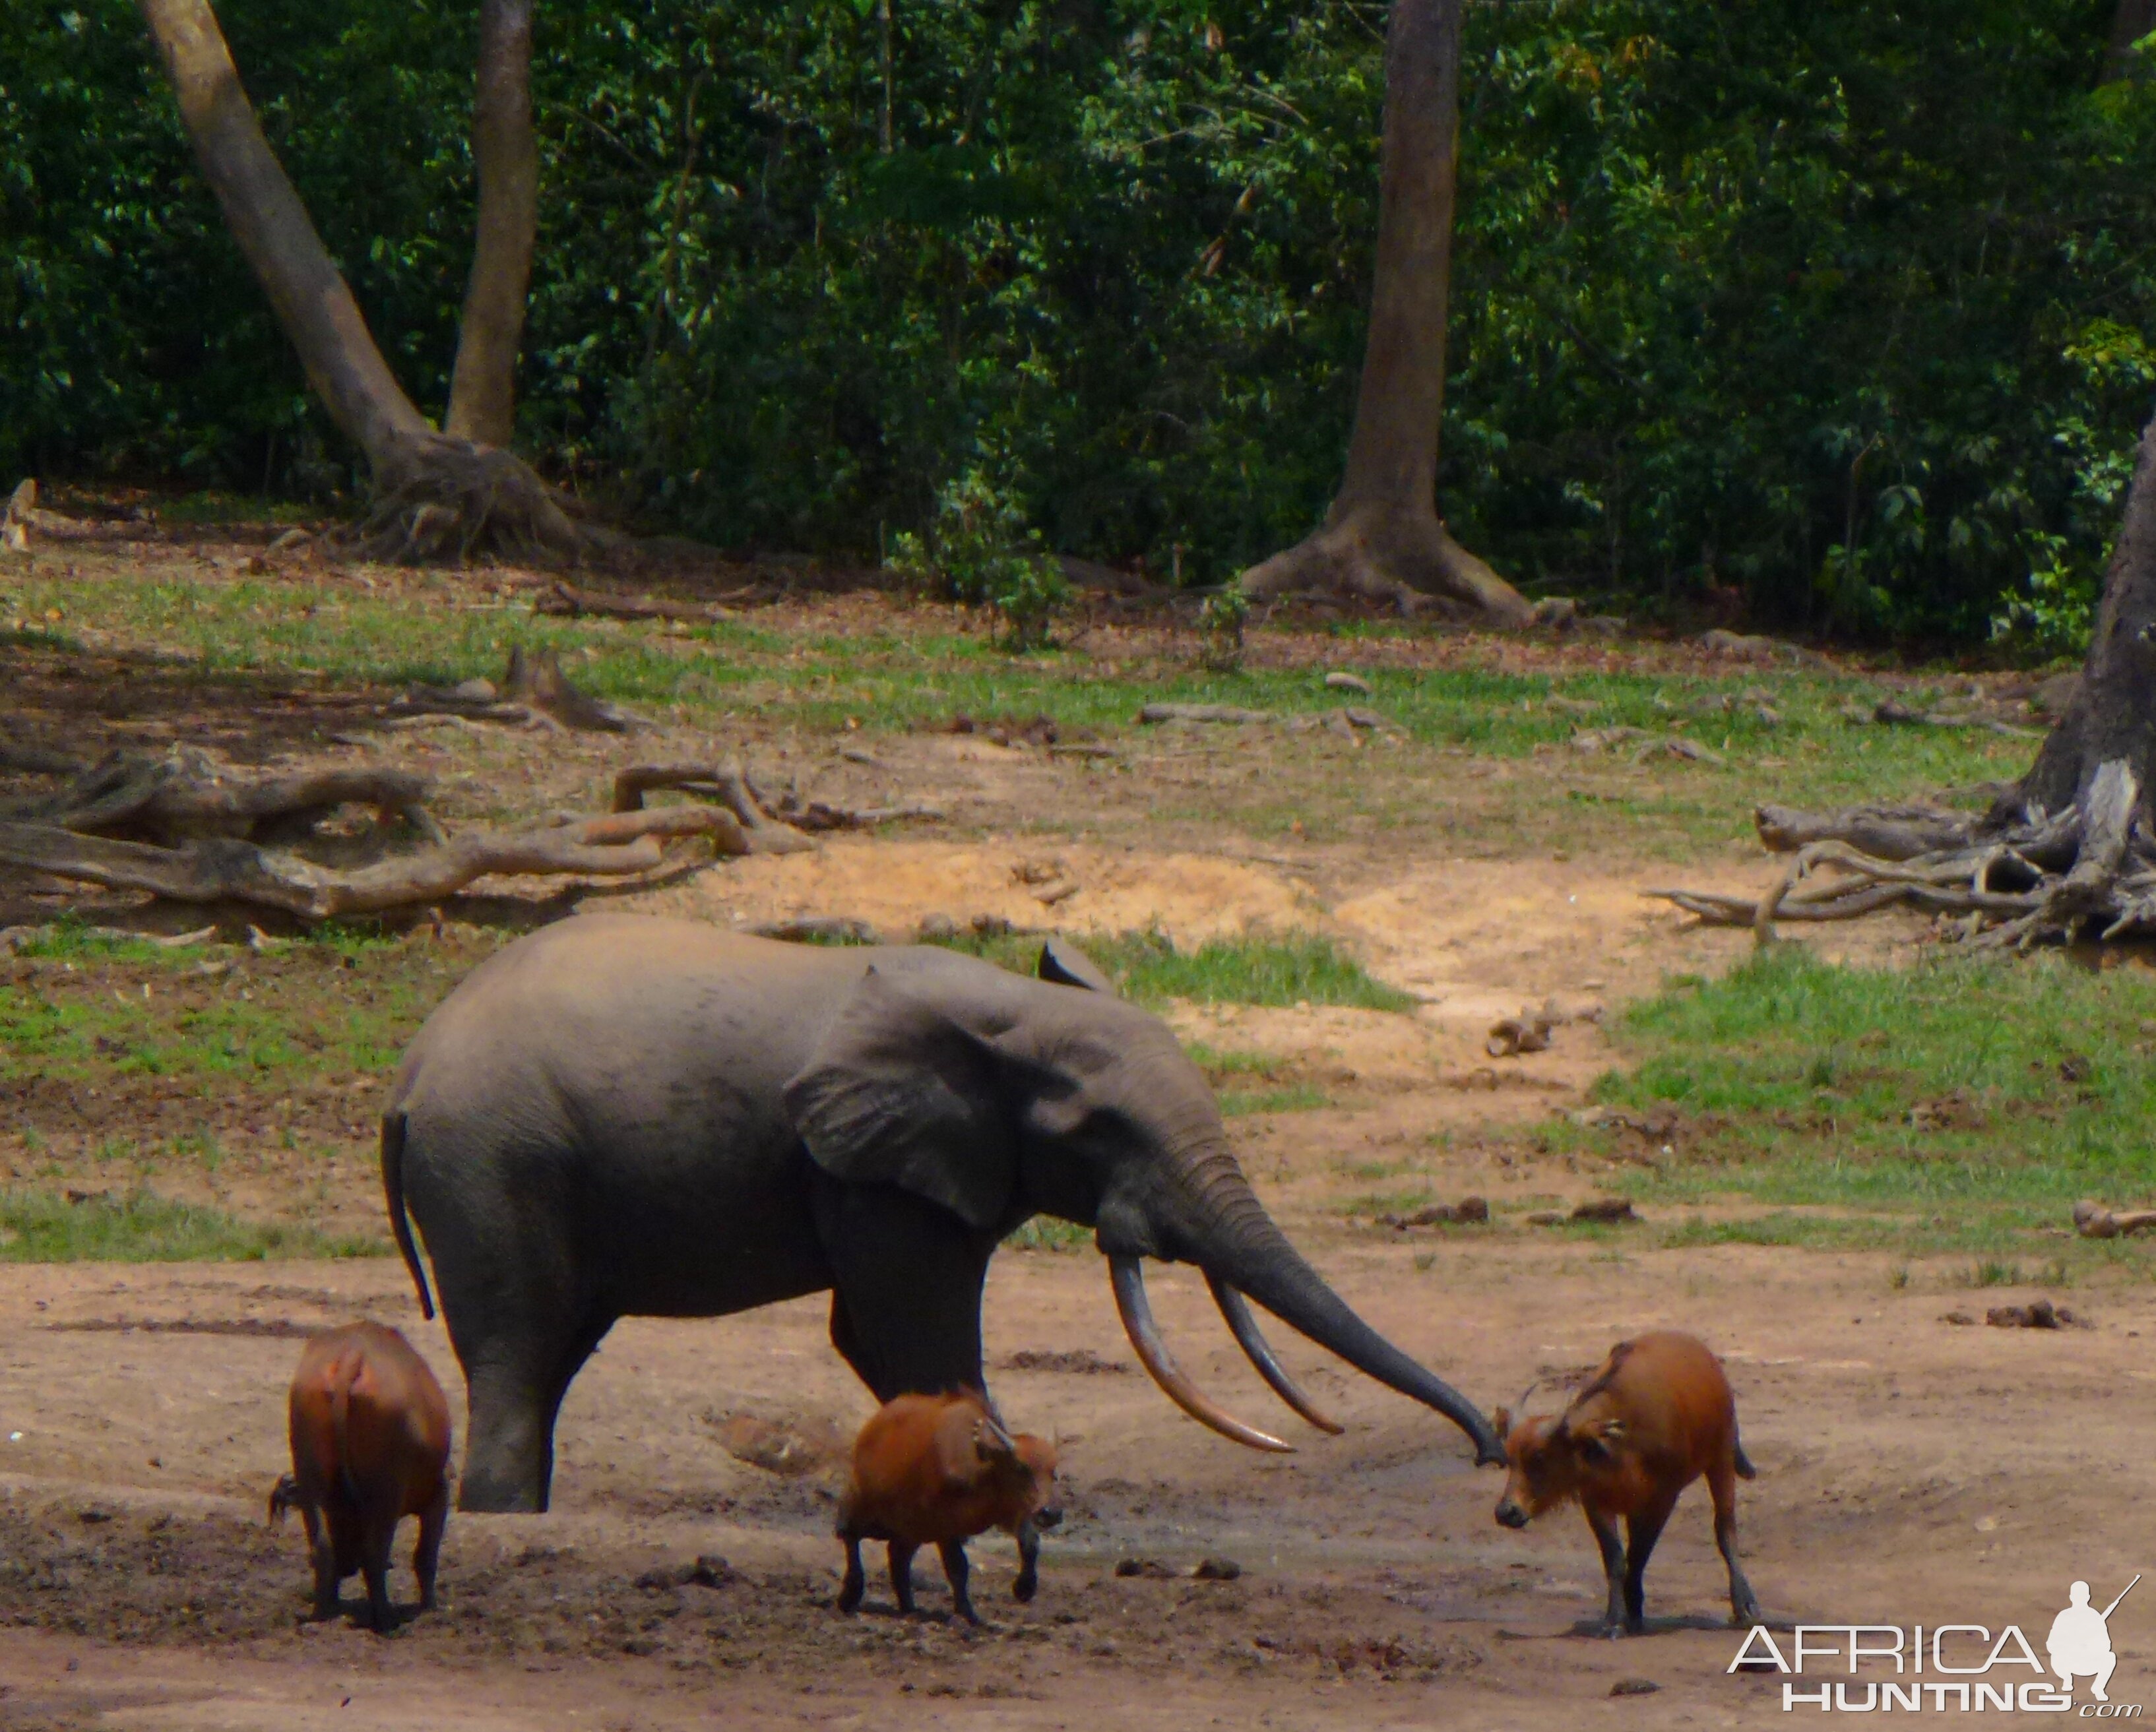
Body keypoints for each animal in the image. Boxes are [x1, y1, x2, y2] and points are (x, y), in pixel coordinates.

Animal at [379, 913, 1500, 1508]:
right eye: (1101, 1131)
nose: (1489, 1449)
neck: (1011, 1009)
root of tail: (411, 1068)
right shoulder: (873, 1170)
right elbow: (908, 1330)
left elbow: (891, 1343)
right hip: (493, 1159)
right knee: (520, 1345)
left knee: (553, 1352)